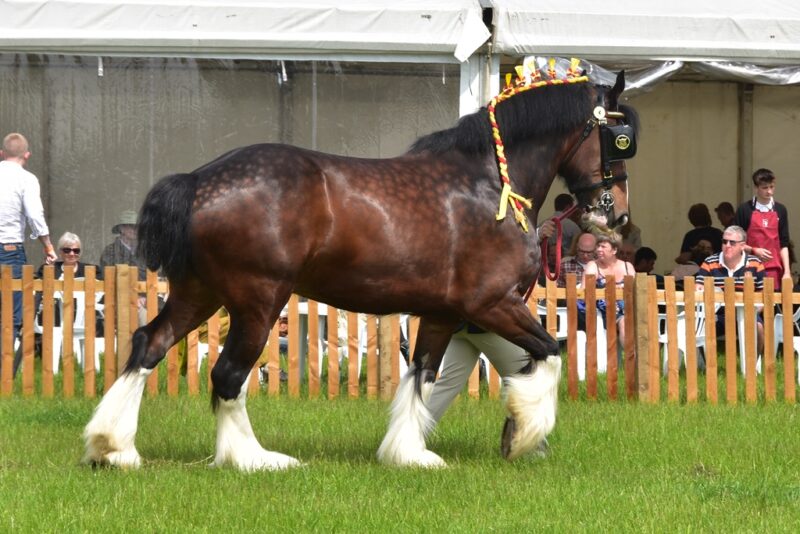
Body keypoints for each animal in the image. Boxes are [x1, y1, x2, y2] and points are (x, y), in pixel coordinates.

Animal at [84, 69, 640, 472]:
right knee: (228, 374)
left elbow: (422, 377)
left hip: (200, 294)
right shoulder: (492, 305)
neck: (490, 184)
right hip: (257, 302)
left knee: (149, 344)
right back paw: (253, 459)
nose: (616, 216)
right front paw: (523, 434)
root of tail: (199, 180)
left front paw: (409, 453)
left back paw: (113, 447)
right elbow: (549, 354)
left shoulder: (442, 315)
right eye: (620, 138)